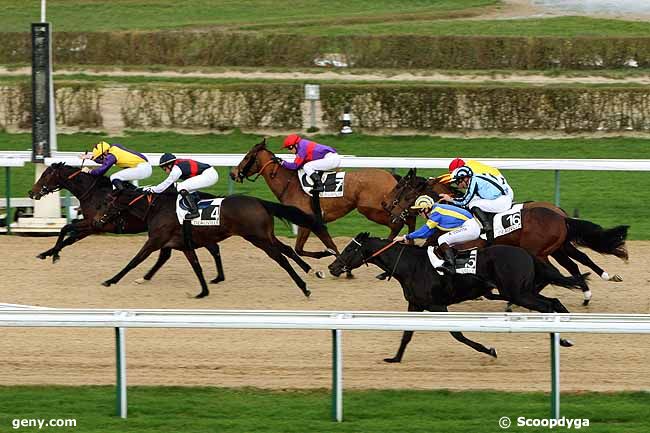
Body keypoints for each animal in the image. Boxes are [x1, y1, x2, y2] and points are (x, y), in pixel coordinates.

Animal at [27, 162, 225, 284]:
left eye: (45, 175)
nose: (31, 192)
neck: (94, 193)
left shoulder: (95, 224)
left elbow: (65, 228)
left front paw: (54, 255)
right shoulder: (93, 225)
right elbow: (69, 238)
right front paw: (47, 253)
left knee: (208, 248)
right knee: (200, 249)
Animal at [96, 188, 340, 296]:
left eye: (106, 203)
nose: (97, 220)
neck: (157, 208)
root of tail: (259, 201)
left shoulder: (155, 241)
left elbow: (134, 260)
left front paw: (110, 280)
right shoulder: (182, 245)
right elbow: (196, 266)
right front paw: (203, 291)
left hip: (257, 238)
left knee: (281, 258)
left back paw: (304, 287)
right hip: (265, 235)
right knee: (288, 250)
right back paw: (311, 271)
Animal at [229, 138, 416, 260]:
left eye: (247, 157)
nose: (232, 173)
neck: (290, 183)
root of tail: (391, 176)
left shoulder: (308, 220)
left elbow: (302, 248)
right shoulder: (315, 222)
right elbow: (324, 245)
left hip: (372, 209)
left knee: (397, 224)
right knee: (409, 219)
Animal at [330, 233, 584, 362]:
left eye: (350, 249)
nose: (333, 267)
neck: (410, 266)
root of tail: (527, 253)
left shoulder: (437, 305)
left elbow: (457, 333)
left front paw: (488, 350)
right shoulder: (416, 304)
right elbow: (406, 334)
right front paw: (395, 358)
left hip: (518, 293)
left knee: (548, 305)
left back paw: (564, 337)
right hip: (524, 290)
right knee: (553, 302)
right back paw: (566, 335)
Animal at [382, 166, 624, 304]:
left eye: (403, 192)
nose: (387, 208)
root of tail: (560, 215)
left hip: (540, 251)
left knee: (558, 270)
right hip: (557, 248)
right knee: (575, 263)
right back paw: (592, 288)